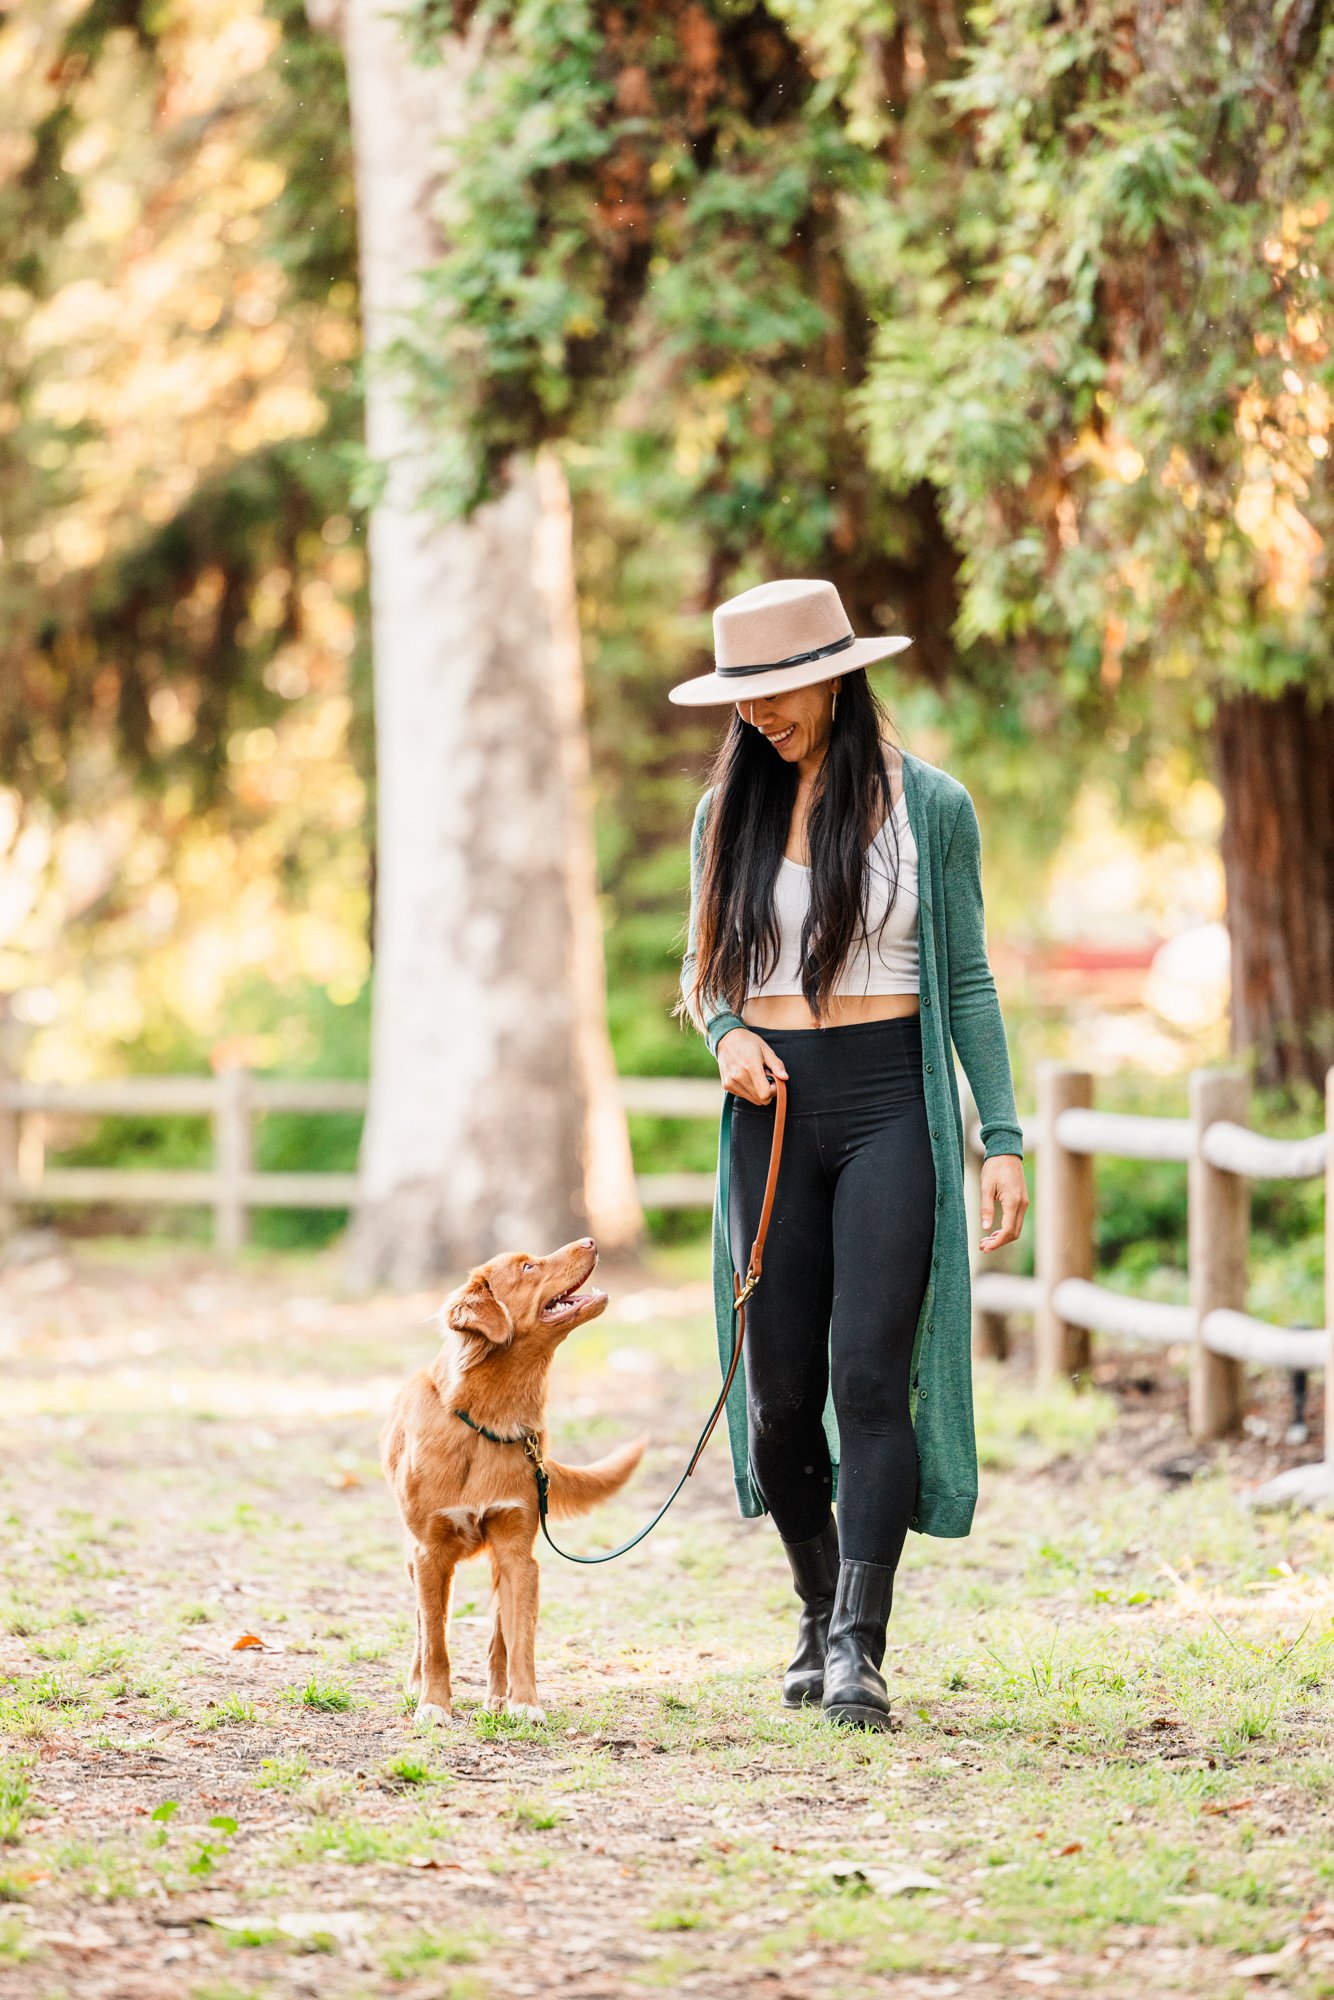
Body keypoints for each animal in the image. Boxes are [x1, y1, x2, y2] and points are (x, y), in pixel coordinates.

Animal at [380, 1224, 648, 1728]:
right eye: (527, 1266)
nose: (590, 1241)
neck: (491, 1421)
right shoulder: (429, 1553)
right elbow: (437, 1641)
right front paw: (433, 1704)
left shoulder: (518, 1552)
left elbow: (520, 1639)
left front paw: (525, 1704)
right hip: (414, 1559)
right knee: (426, 1629)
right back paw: (417, 1682)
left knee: (498, 1637)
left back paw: (498, 1698)